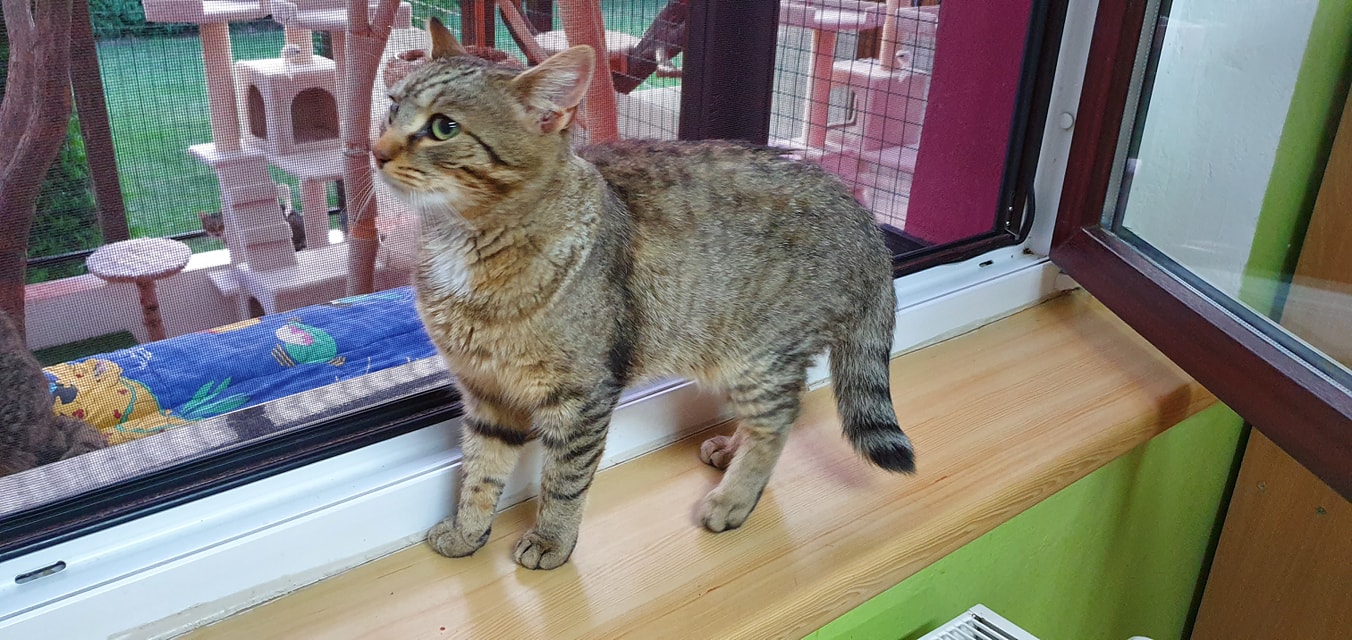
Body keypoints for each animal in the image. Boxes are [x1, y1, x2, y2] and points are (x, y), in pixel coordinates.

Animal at [374, 18, 913, 570]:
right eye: (392, 107)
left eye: (444, 127)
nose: (377, 150)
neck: (464, 243)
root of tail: (860, 214)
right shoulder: (486, 393)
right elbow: (480, 472)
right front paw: (467, 532)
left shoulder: (582, 397)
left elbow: (564, 479)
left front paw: (551, 539)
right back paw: (730, 450)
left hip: (759, 358)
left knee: (779, 421)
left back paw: (734, 497)